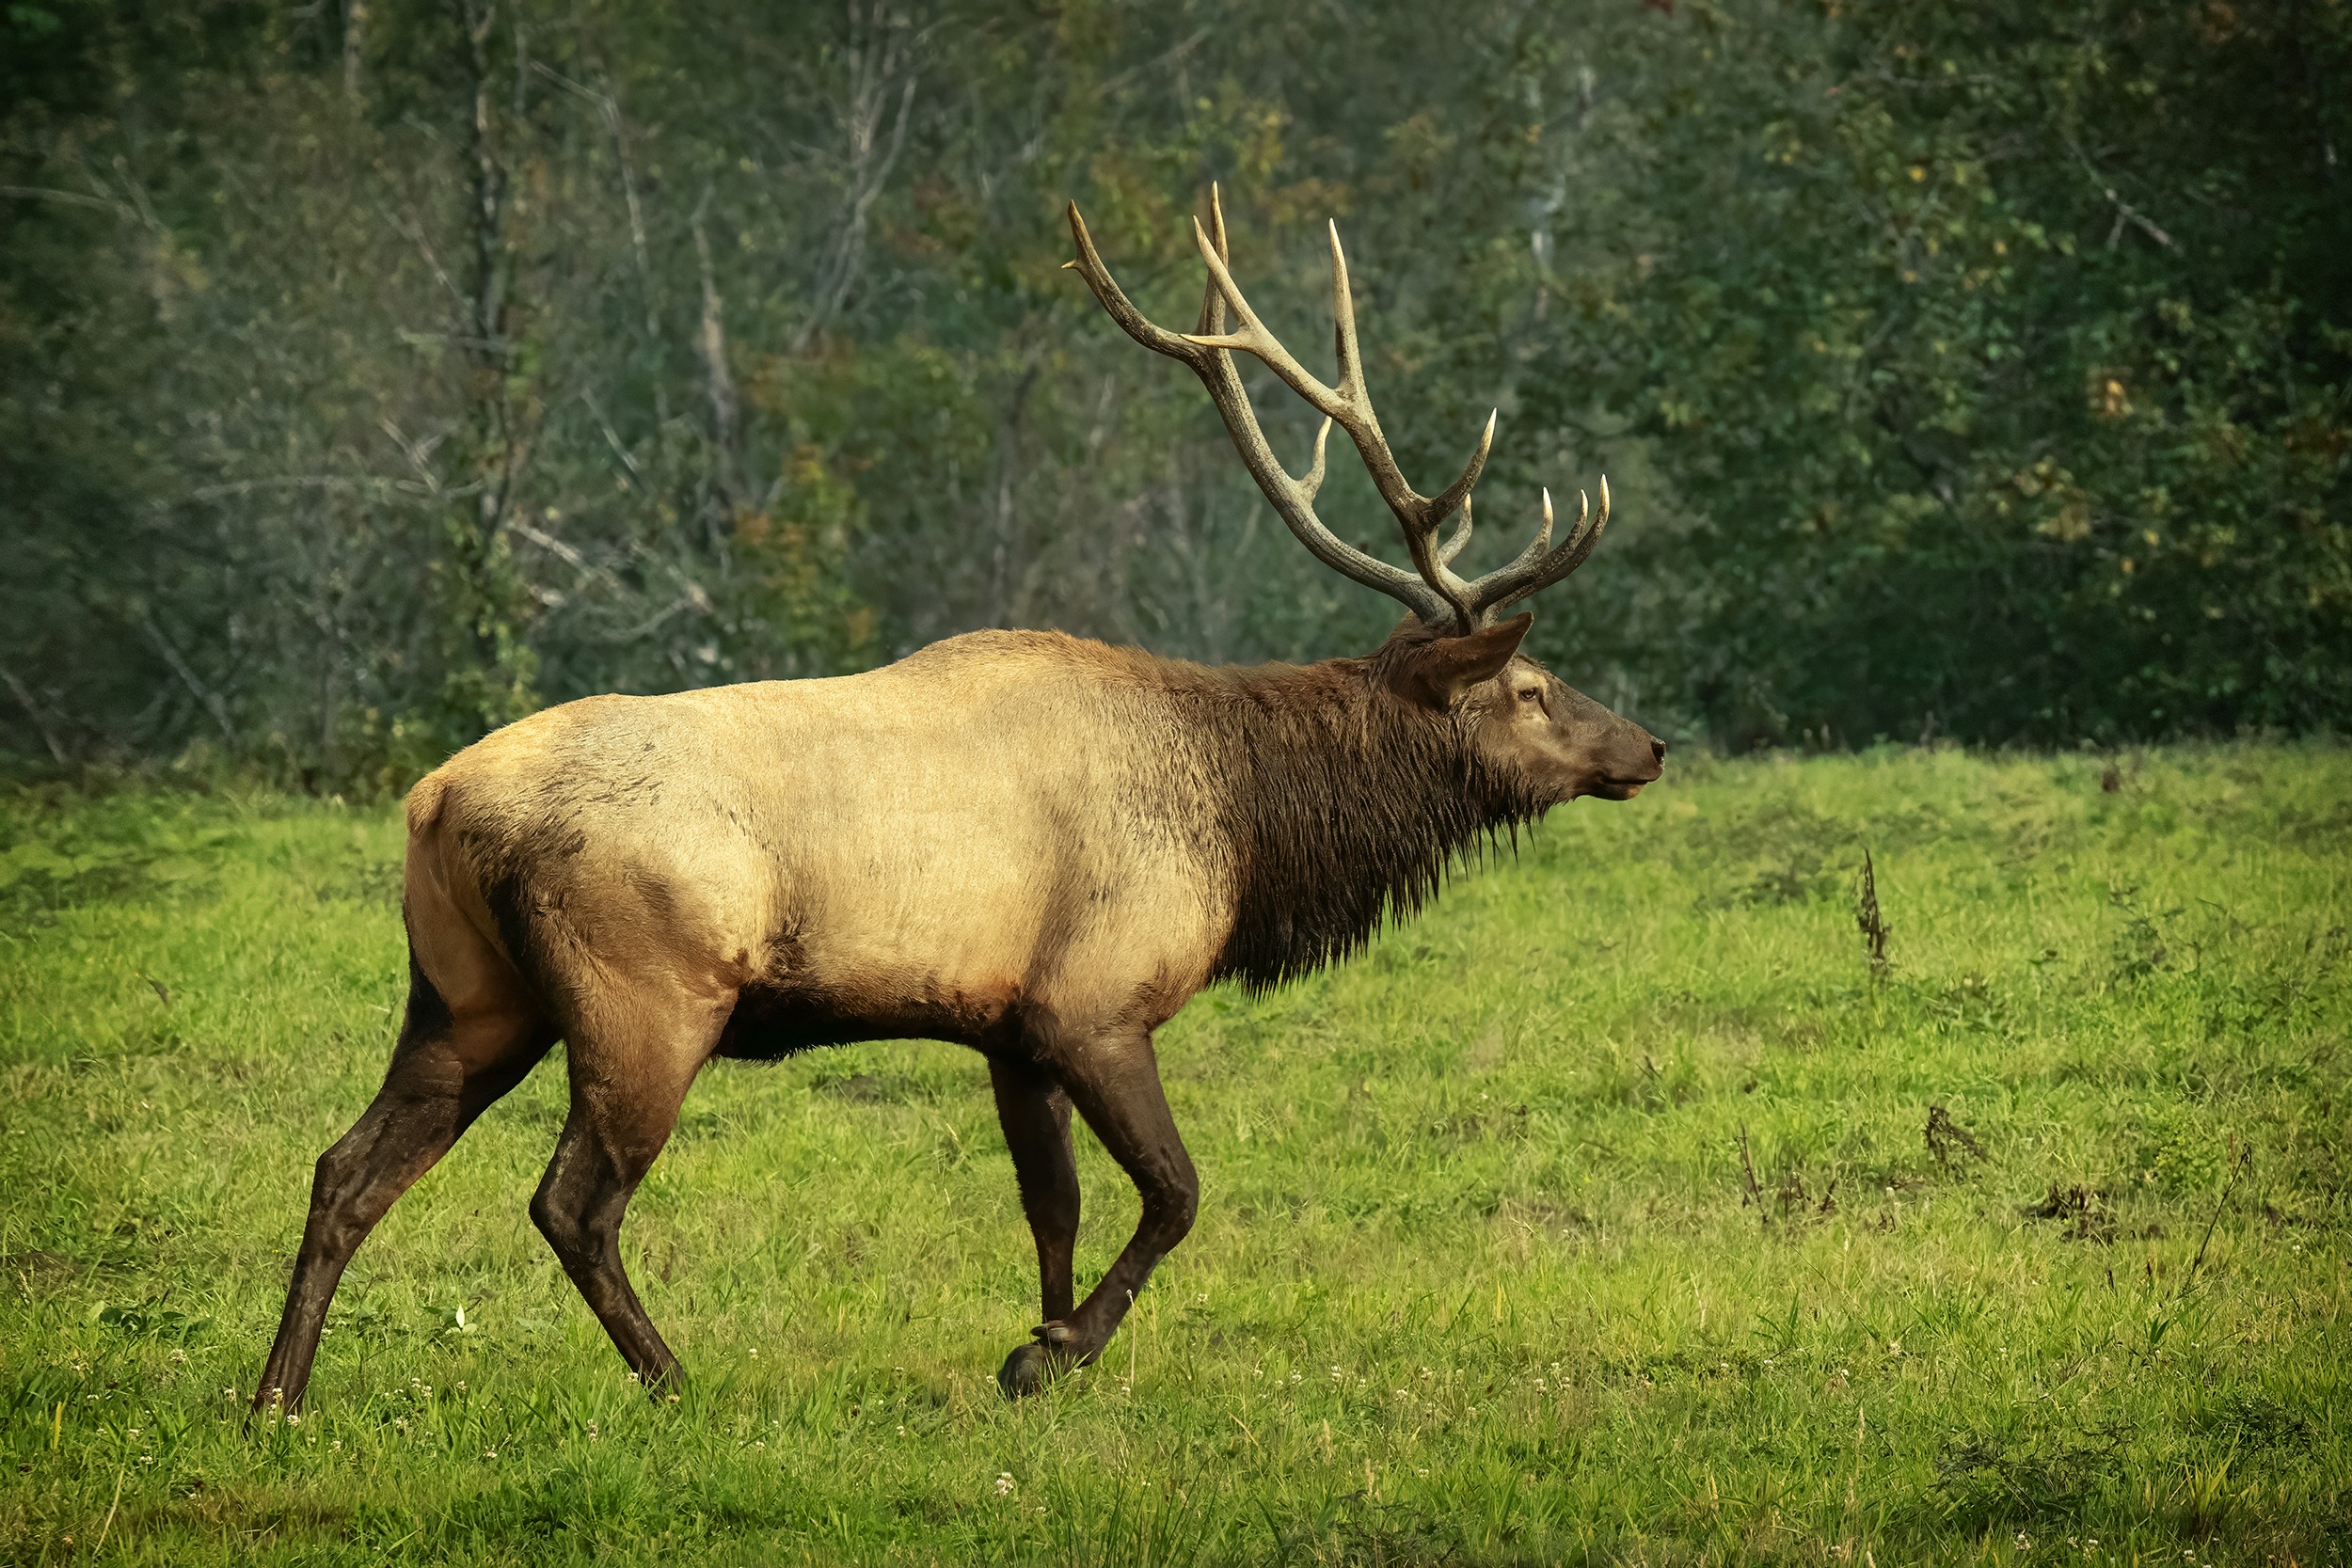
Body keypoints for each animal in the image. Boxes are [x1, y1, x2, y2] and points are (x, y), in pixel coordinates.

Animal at [253, 188, 1664, 1414]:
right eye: (1530, 684)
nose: (1647, 744)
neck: (1245, 821)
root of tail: (435, 803)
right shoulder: (1097, 1000)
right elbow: (1176, 1193)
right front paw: (1052, 1352)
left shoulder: (1011, 1027)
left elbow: (1056, 1205)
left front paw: (1039, 1338)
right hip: (644, 997)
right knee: (571, 1200)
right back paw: (675, 1377)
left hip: (469, 996)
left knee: (348, 1167)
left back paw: (276, 1397)